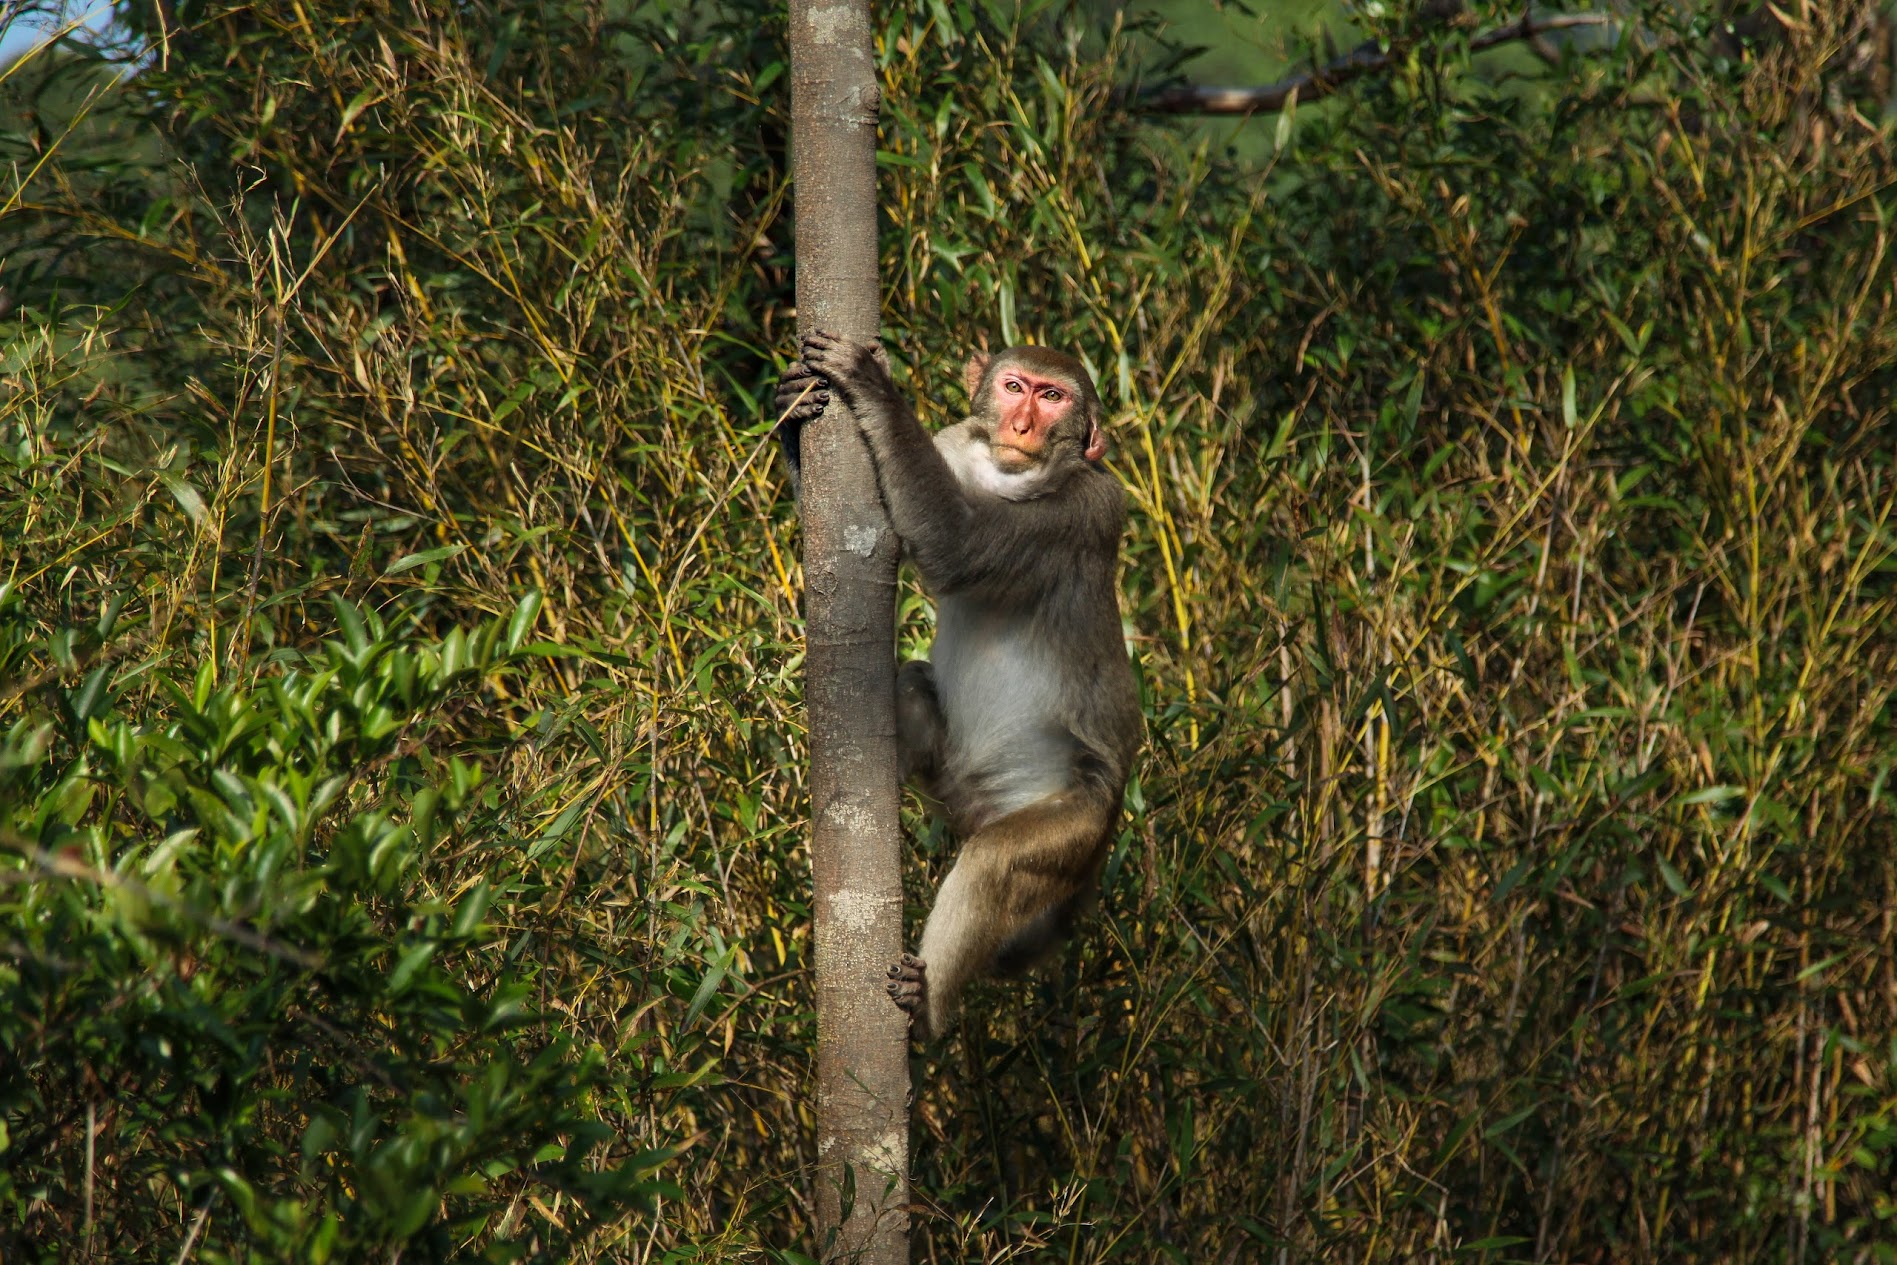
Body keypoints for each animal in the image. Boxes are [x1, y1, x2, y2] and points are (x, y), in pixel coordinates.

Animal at [773, 333, 1138, 1039]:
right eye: (1015, 386)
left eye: (1055, 398)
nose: (1023, 426)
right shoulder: (950, 443)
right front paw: (796, 412)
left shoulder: (1083, 513)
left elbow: (958, 544)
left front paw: (874, 388)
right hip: (954, 785)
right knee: (916, 684)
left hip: (1080, 819)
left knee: (996, 864)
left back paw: (929, 1006)